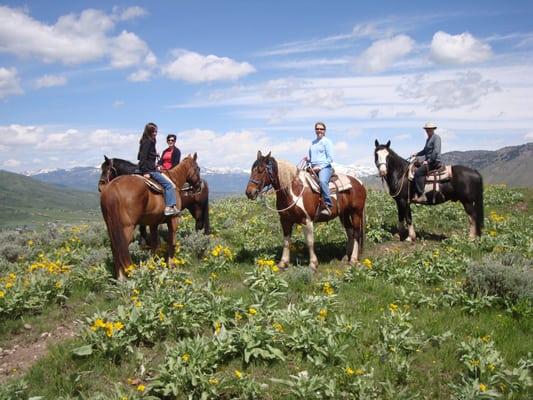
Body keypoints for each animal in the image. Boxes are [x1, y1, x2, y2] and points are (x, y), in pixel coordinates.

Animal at [98, 154, 201, 282]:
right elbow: (172, 242)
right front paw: (171, 264)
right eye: (198, 168)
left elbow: (154, 245)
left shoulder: (153, 224)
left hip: (112, 226)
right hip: (127, 227)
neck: (174, 180)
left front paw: (154, 264)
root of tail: (111, 187)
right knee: (120, 247)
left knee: (115, 246)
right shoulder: (174, 219)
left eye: (106, 169)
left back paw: (120, 277)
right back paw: (124, 276)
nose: (199, 186)